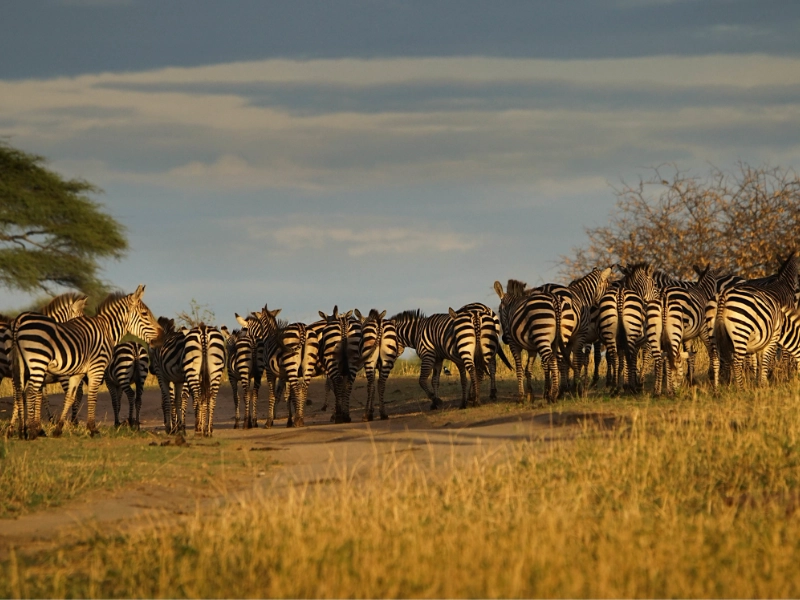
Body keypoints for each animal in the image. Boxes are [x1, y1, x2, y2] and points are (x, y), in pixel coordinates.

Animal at [13, 286, 163, 439]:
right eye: (144, 314)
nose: (162, 336)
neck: (107, 330)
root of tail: (20, 319)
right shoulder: (97, 368)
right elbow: (92, 396)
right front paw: (92, 428)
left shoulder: (78, 373)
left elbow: (70, 397)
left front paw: (59, 428)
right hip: (38, 362)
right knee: (30, 391)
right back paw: (31, 431)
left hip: (22, 365)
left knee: (21, 392)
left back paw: (21, 431)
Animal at [711, 253, 797, 390]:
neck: (784, 284)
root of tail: (724, 294)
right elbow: (776, 356)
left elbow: (759, 359)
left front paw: (758, 379)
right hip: (741, 332)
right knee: (736, 361)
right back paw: (740, 388)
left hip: (714, 333)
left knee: (717, 359)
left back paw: (719, 386)